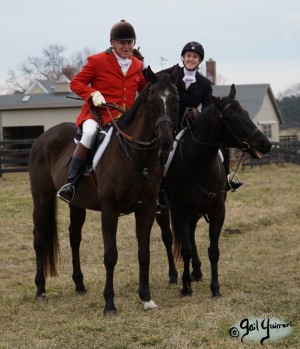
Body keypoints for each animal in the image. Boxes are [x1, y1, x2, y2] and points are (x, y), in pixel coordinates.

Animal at [29, 64, 180, 312]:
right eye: (152, 99)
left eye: (176, 99)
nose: (166, 142)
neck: (137, 156)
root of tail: (43, 136)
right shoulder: (110, 209)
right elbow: (110, 255)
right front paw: (109, 303)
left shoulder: (147, 209)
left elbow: (144, 253)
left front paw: (146, 298)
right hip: (42, 199)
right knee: (39, 238)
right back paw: (40, 289)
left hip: (77, 204)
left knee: (74, 237)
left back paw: (79, 285)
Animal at [155, 83, 272, 296]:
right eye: (233, 119)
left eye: (246, 113)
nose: (265, 144)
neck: (199, 165)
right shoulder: (180, 210)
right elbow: (184, 249)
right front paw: (186, 286)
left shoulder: (217, 211)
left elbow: (213, 250)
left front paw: (215, 288)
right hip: (163, 209)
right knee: (168, 238)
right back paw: (174, 275)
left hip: (195, 213)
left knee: (191, 233)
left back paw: (197, 271)